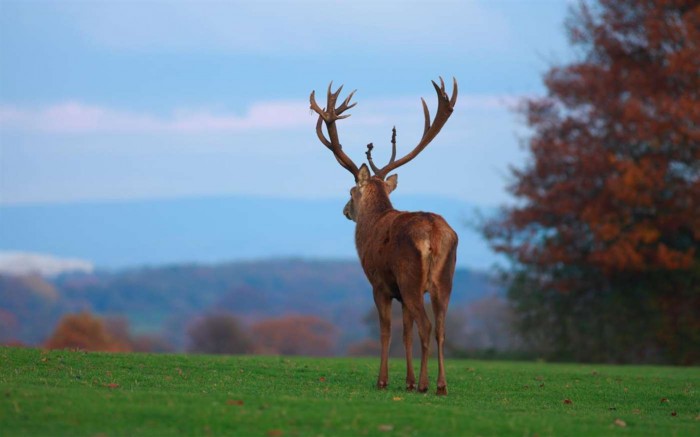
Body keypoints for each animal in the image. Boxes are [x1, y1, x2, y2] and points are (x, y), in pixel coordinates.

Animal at [312, 78, 460, 396]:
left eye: (350, 190)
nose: (345, 210)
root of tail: (434, 235)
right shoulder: (400, 294)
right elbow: (405, 334)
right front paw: (407, 380)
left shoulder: (379, 283)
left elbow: (386, 331)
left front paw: (384, 380)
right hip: (444, 280)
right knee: (442, 329)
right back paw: (441, 385)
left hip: (410, 277)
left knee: (427, 326)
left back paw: (425, 385)